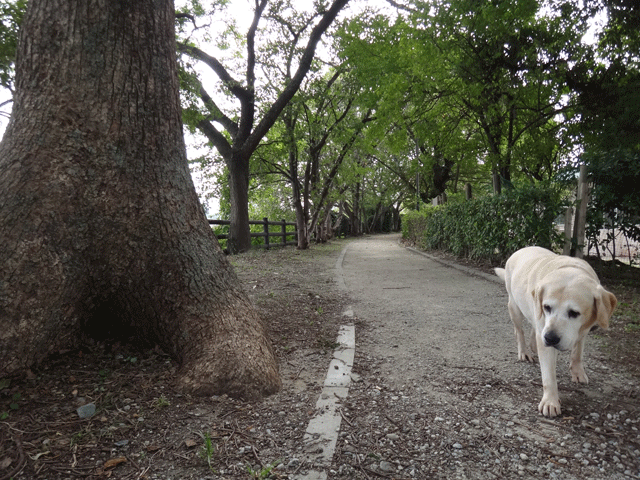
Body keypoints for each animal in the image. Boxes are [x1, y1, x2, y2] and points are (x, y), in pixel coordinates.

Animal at [496, 248, 616, 416]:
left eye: (574, 313)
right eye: (547, 307)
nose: (550, 338)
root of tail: (522, 249)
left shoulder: (583, 331)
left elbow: (577, 353)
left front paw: (578, 372)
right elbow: (548, 376)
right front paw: (550, 401)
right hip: (514, 308)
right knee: (519, 332)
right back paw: (524, 352)